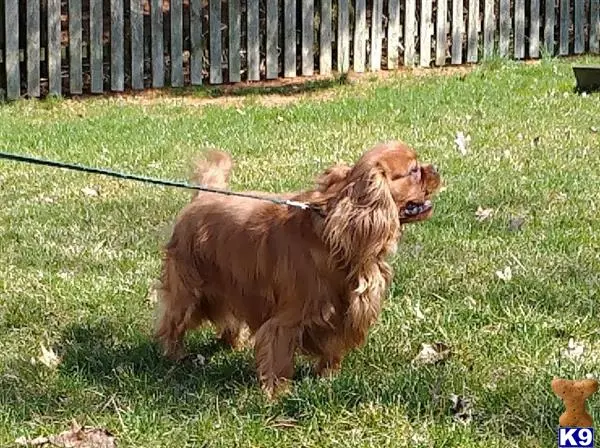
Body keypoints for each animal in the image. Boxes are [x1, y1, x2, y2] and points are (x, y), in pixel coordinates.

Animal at [156, 141, 440, 396]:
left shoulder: (342, 315)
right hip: (187, 291)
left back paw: (233, 344)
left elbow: (332, 349)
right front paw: (277, 393)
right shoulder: (287, 320)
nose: (435, 168)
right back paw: (175, 356)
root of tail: (203, 195)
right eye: (414, 170)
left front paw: (328, 377)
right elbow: (279, 354)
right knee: (172, 323)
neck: (338, 233)